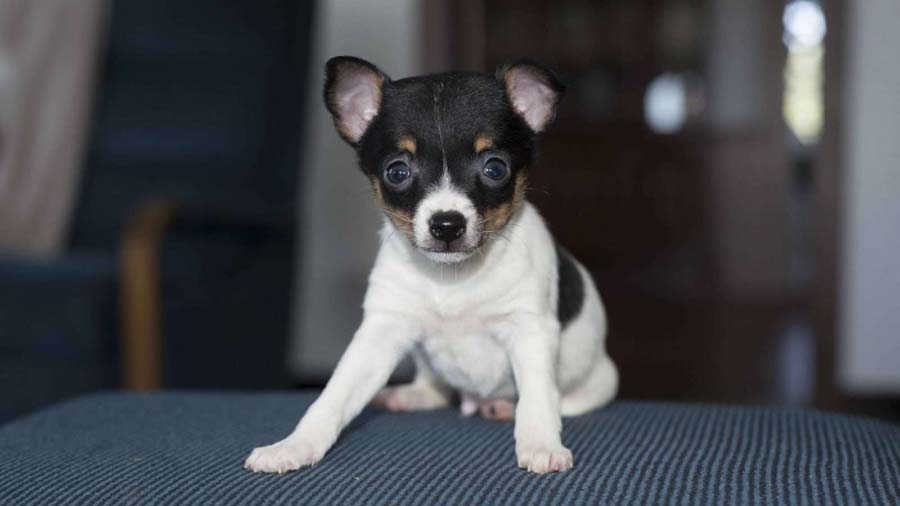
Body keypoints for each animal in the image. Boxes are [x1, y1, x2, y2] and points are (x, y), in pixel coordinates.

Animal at [243, 57, 616, 476]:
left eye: (495, 168)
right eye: (397, 172)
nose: (447, 225)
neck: (452, 279)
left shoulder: (529, 330)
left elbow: (537, 397)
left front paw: (540, 443)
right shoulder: (380, 332)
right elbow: (334, 395)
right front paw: (295, 444)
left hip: (601, 380)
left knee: (561, 399)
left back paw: (503, 406)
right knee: (436, 389)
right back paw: (410, 395)